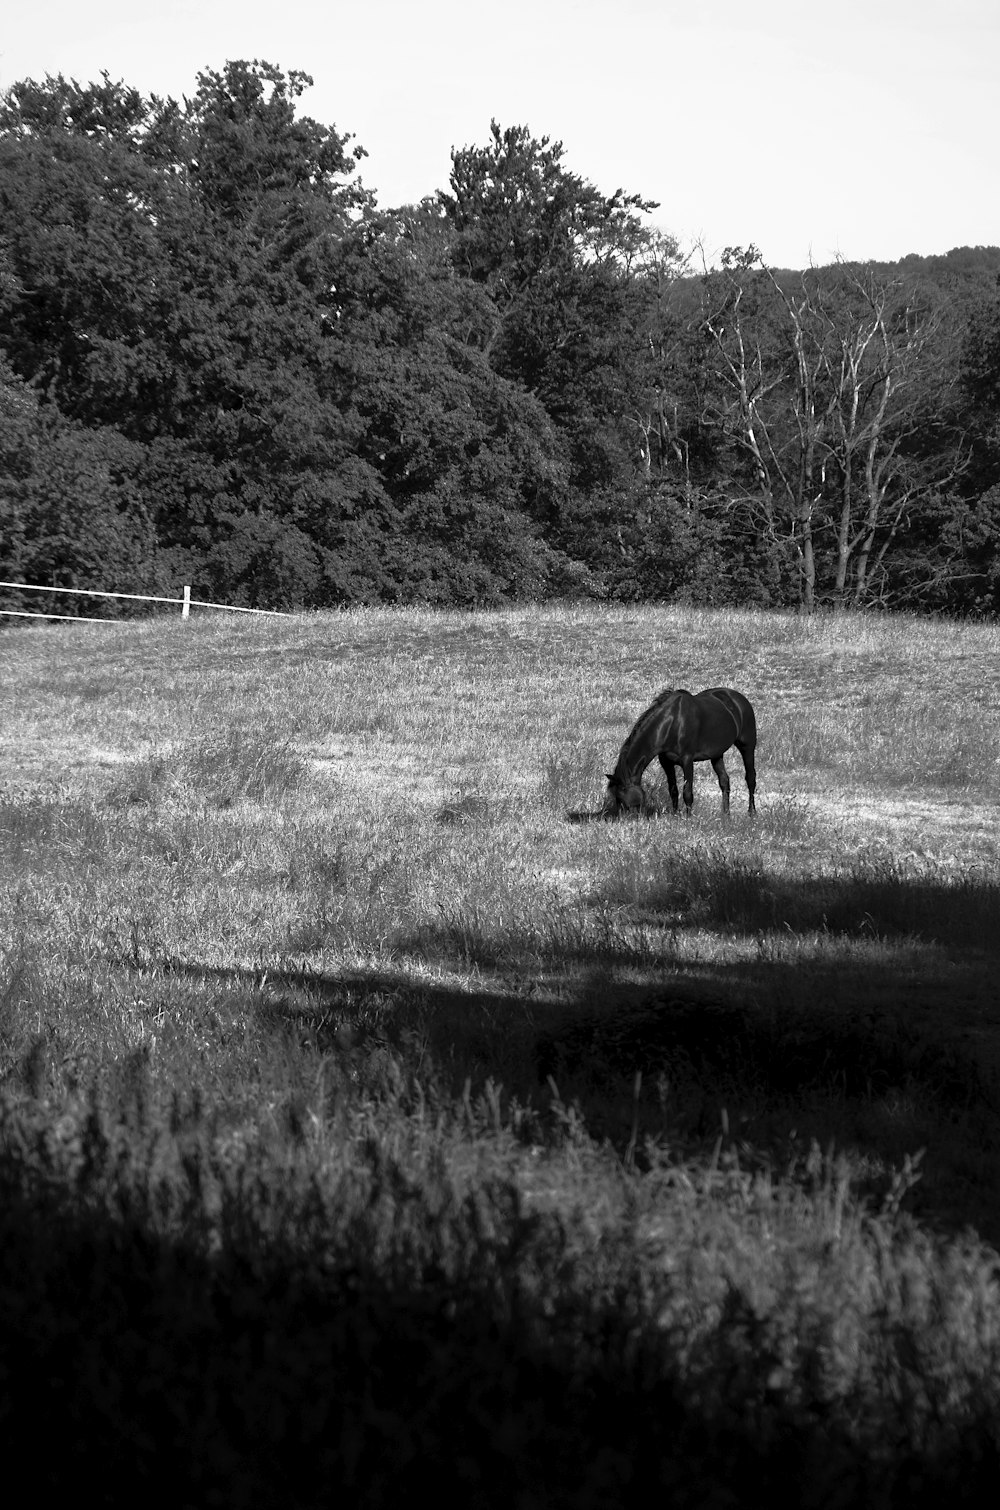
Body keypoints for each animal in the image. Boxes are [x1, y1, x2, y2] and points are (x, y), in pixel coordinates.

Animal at [604, 688, 761, 821]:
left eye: (623, 800)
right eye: (617, 799)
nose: (627, 821)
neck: (672, 723)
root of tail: (739, 698)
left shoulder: (687, 760)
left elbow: (687, 792)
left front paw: (688, 818)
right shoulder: (666, 762)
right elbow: (673, 790)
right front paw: (675, 815)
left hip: (747, 747)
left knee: (750, 778)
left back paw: (752, 813)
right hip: (717, 755)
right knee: (724, 781)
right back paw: (726, 815)